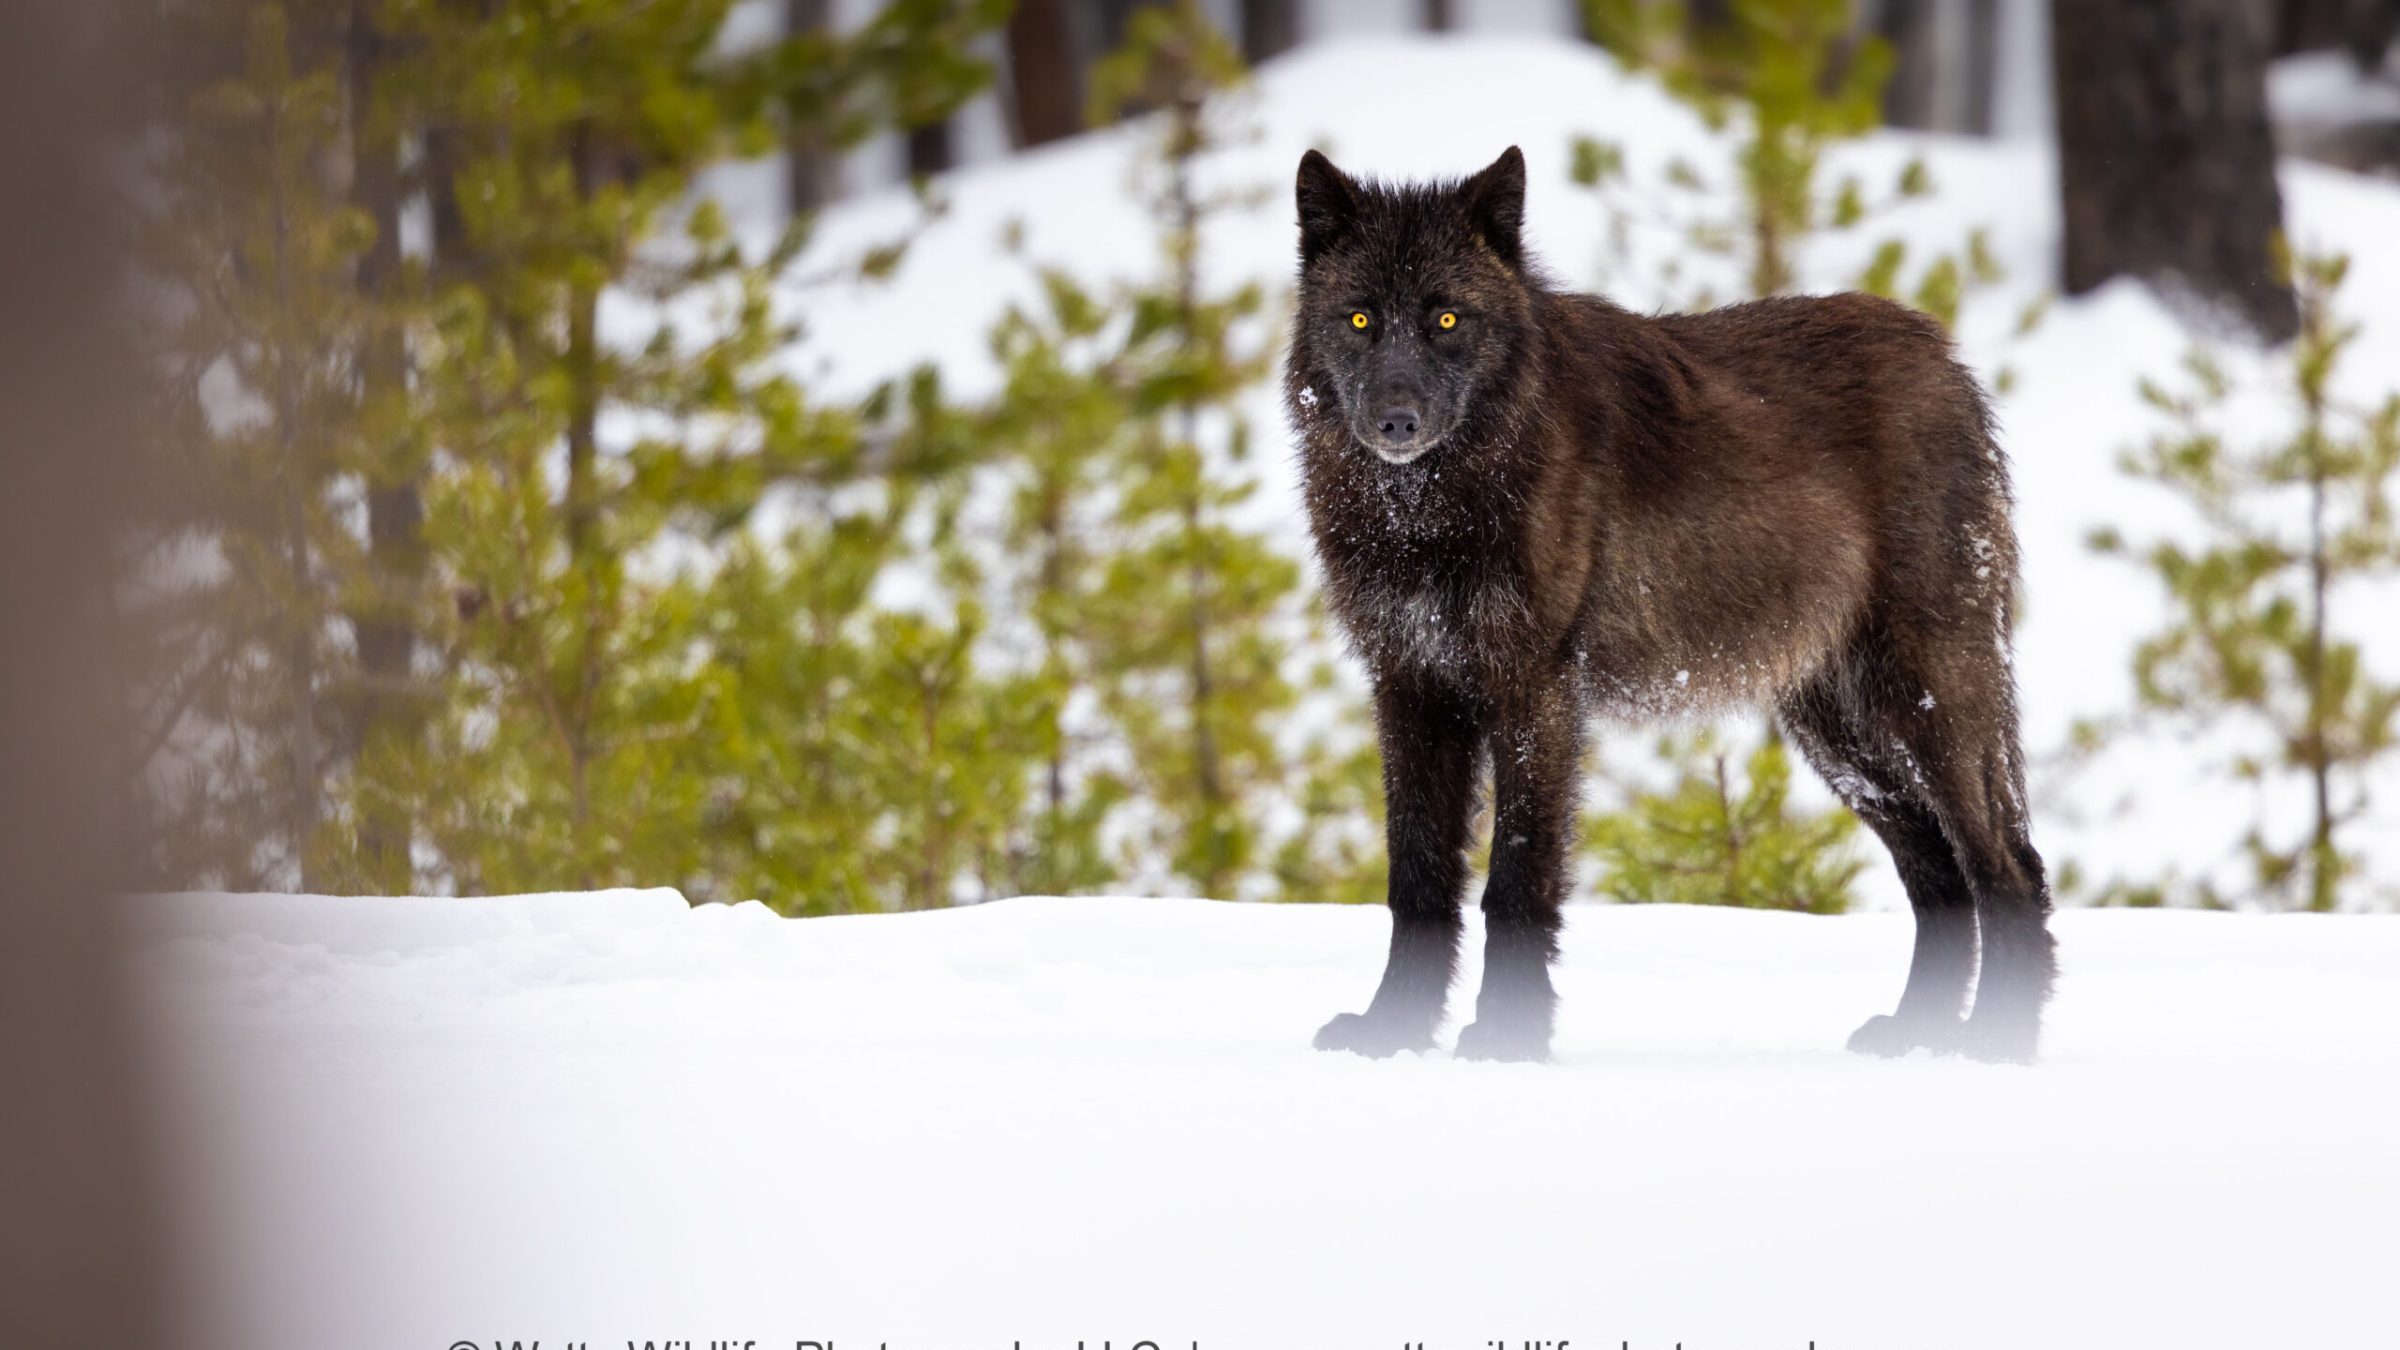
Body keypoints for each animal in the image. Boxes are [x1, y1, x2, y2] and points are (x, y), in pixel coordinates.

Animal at [1286, 145, 2055, 1064]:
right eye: (1361, 320)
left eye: (1445, 320)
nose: (1396, 421)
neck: (1430, 510)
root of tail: (1946, 355)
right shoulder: (1410, 688)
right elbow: (1417, 880)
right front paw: (1393, 1031)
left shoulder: (1535, 693)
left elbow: (1516, 883)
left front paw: (1506, 1037)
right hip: (1840, 736)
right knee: (1939, 876)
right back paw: (1917, 1034)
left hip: (1926, 698)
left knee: (2010, 869)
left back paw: (1996, 1047)